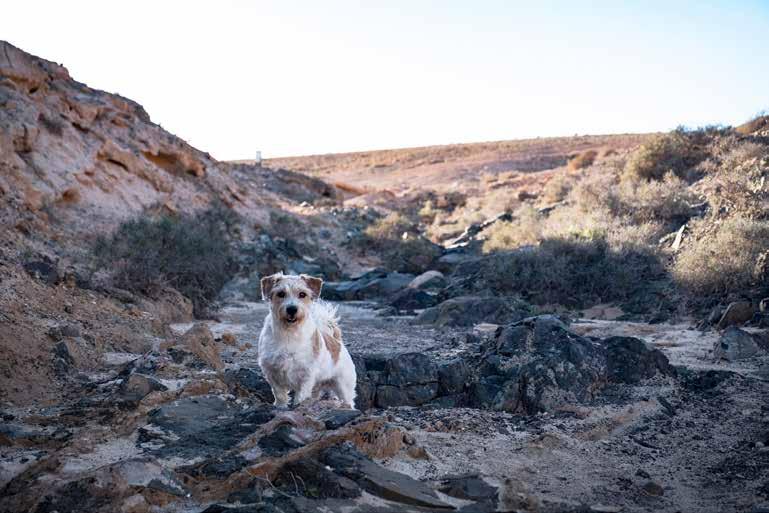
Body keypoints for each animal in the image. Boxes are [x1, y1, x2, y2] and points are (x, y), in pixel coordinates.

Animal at [256, 272, 356, 408]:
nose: (292, 309)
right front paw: (280, 406)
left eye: (302, 294)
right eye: (281, 293)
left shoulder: (306, 375)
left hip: (343, 387)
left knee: (348, 400)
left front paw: (298, 405)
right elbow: (279, 393)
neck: (289, 332)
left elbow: (301, 395)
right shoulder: (271, 371)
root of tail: (338, 342)